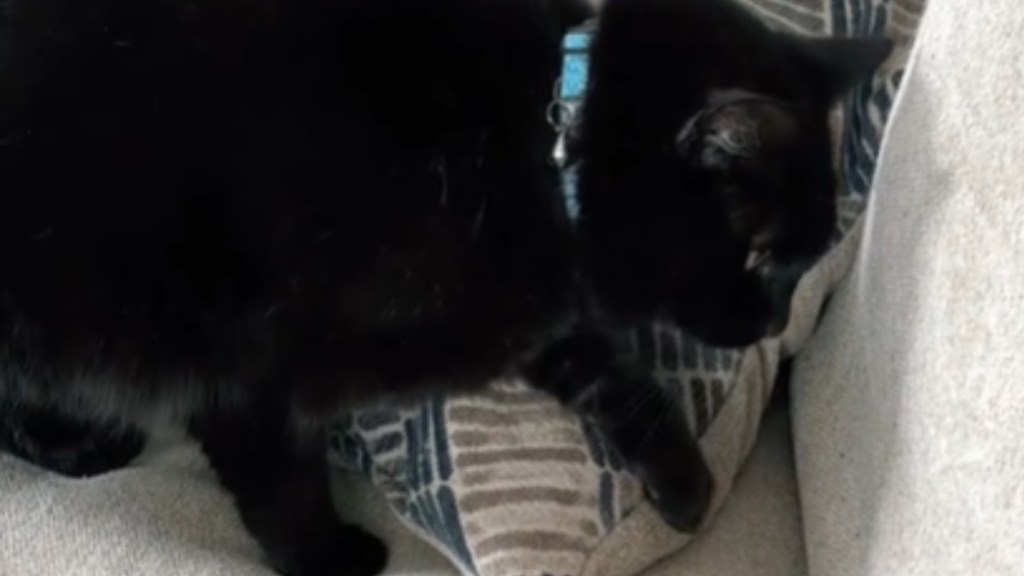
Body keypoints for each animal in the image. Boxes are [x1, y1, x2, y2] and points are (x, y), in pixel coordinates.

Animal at [0, 0, 888, 569]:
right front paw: (327, 561)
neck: (539, 123)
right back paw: (75, 444)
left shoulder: (535, 303)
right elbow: (278, 478)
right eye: (762, 256)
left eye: (798, 261)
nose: (773, 323)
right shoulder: (249, 368)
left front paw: (682, 483)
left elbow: (620, 379)